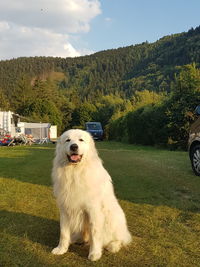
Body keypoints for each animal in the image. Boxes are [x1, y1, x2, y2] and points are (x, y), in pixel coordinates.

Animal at [52, 130, 131, 262]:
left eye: (81, 140)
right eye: (68, 140)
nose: (74, 147)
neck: (75, 172)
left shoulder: (93, 210)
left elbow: (95, 233)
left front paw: (94, 253)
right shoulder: (65, 209)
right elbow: (63, 232)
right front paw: (61, 249)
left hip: (113, 218)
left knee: (120, 239)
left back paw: (113, 245)